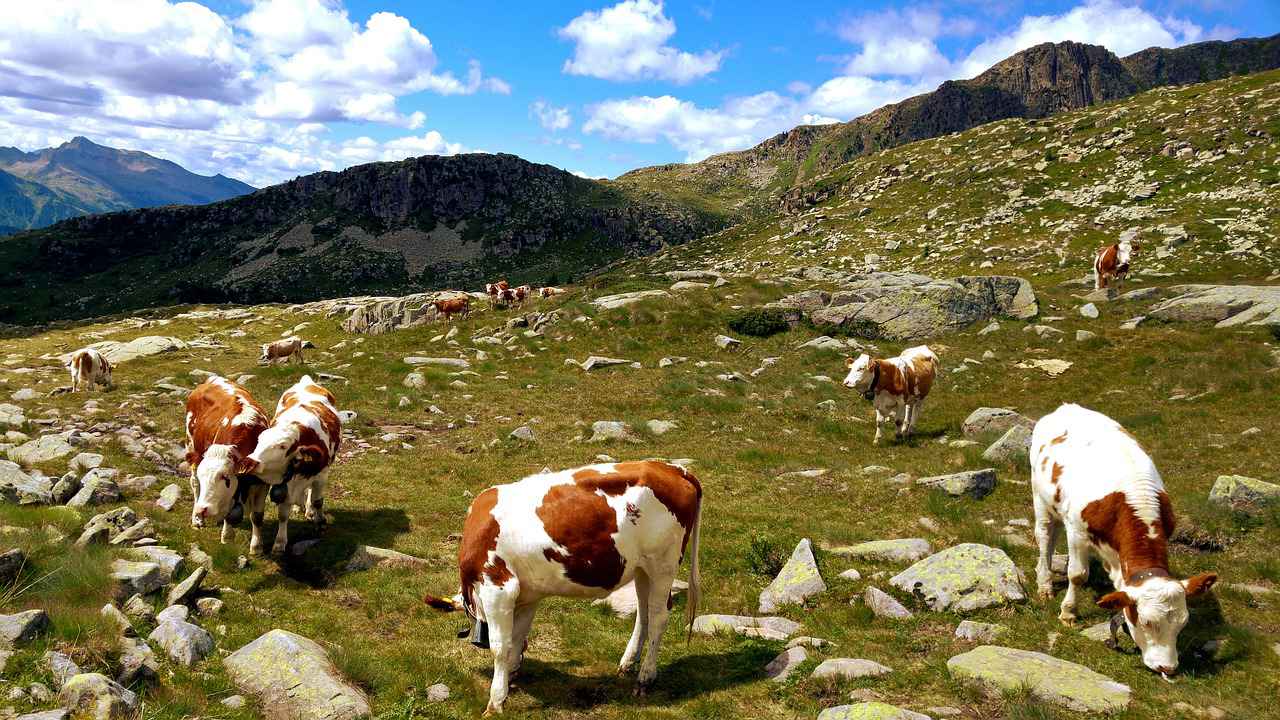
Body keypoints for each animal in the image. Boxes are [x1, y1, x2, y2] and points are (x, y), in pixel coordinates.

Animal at [184, 379, 268, 540]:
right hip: (191, 445)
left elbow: (257, 516)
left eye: (225, 477)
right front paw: (226, 535)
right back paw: (197, 520)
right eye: (202, 476)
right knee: (194, 484)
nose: (202, 509)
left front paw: (257, 543)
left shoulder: (263, 482)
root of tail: (211, 379)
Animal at [239, 376, 343, 556]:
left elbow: (317, 501)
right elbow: (282, 514)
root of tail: (306, 381)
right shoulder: (285, 486)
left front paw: (320, 522)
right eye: (259, 440)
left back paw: (309, 510)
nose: (250, 461)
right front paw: (280, 543)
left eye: (282, 446)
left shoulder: (321, 475)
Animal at [422, 458, 701, 712]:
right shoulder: (526, 595)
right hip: (642, 568)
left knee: (658, 617)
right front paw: (511, 677)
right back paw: (627, 664)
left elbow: (501, 647)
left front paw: (495, 701)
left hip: (663, 564)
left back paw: (645, 678)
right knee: (644, 613)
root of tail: (672, 468)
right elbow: (517, 637)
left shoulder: (497, 587)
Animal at [1024, 404, 1213, 671]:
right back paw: (1045, 584)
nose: (1168, 668)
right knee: (1044, 537)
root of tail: (1067, 406)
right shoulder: (1077, 532)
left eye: (1183, 623)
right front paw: (1068, 613)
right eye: (1146, 622)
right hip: (1040, 498)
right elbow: (1077, 575)